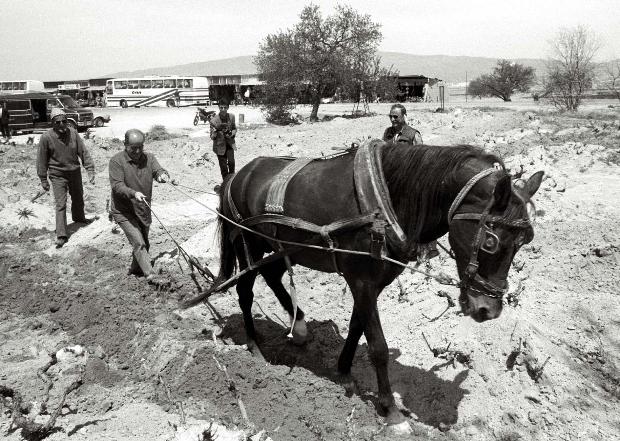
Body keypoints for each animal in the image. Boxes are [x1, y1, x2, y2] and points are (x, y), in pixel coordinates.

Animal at [200, 142, 544, 434]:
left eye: (525, 241)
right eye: (491, 241)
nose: (488, 309)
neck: (389, 199)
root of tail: (236, 175)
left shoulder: (372, 284)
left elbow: (357, 326)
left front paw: (343, 371)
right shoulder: (362, 280)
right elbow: (377, 346)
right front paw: (390, 410)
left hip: (283, 246)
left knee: (271, 275)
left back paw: (298, 327)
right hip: (248, 243)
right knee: (245, 292)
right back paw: (254, 349)